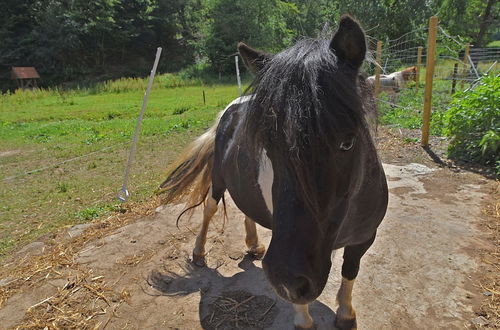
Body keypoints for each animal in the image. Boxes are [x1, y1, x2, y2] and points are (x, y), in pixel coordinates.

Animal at [158, 15, 388, 330]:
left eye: (347, 142)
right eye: (268, 144)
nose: (286, 277)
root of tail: (230, 110)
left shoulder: (364, 239)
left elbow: (349, 272)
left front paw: (345, 313)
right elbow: (302, 301)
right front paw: (303, 319)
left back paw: (254, 245)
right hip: (218, 180)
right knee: (209, 209)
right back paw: (199, 253)